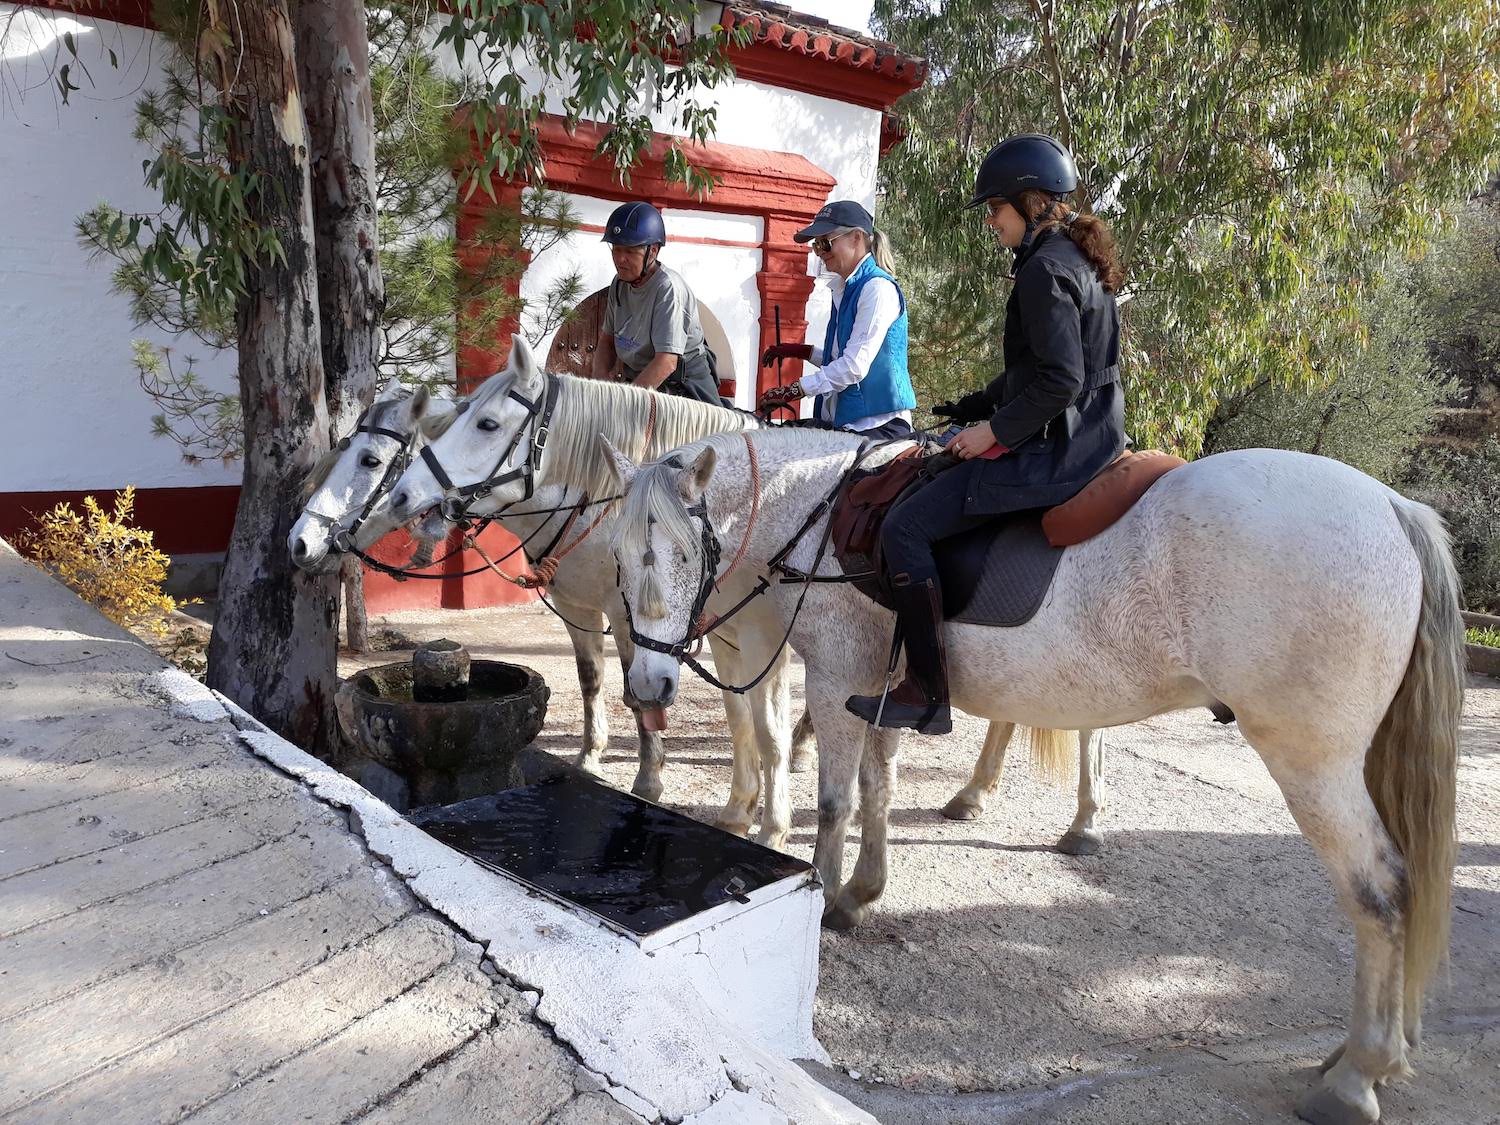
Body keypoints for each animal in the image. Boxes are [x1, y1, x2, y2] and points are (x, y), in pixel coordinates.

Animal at [381, 338, 1114, 854]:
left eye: (486, 422)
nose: (404, 495)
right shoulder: (721, 634)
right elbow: (739, 722)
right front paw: (742, 807)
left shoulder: (750, 637)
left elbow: (758, 726)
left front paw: (761, 817)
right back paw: (973, 791)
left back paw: (1082, 819)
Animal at [598, 425, 1463, 1125]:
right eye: (618, 558)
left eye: (683, 555)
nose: (649, 685)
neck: (820, 509)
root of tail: (1393, 507)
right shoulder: (879, 688)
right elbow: (879, 791)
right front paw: (862, 892)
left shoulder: (835, 678)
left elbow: (838, 799)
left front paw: (824, 897)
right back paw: (1363, 1055)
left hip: (1313, 765)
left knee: (1381, 892)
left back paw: (1355, 1076)